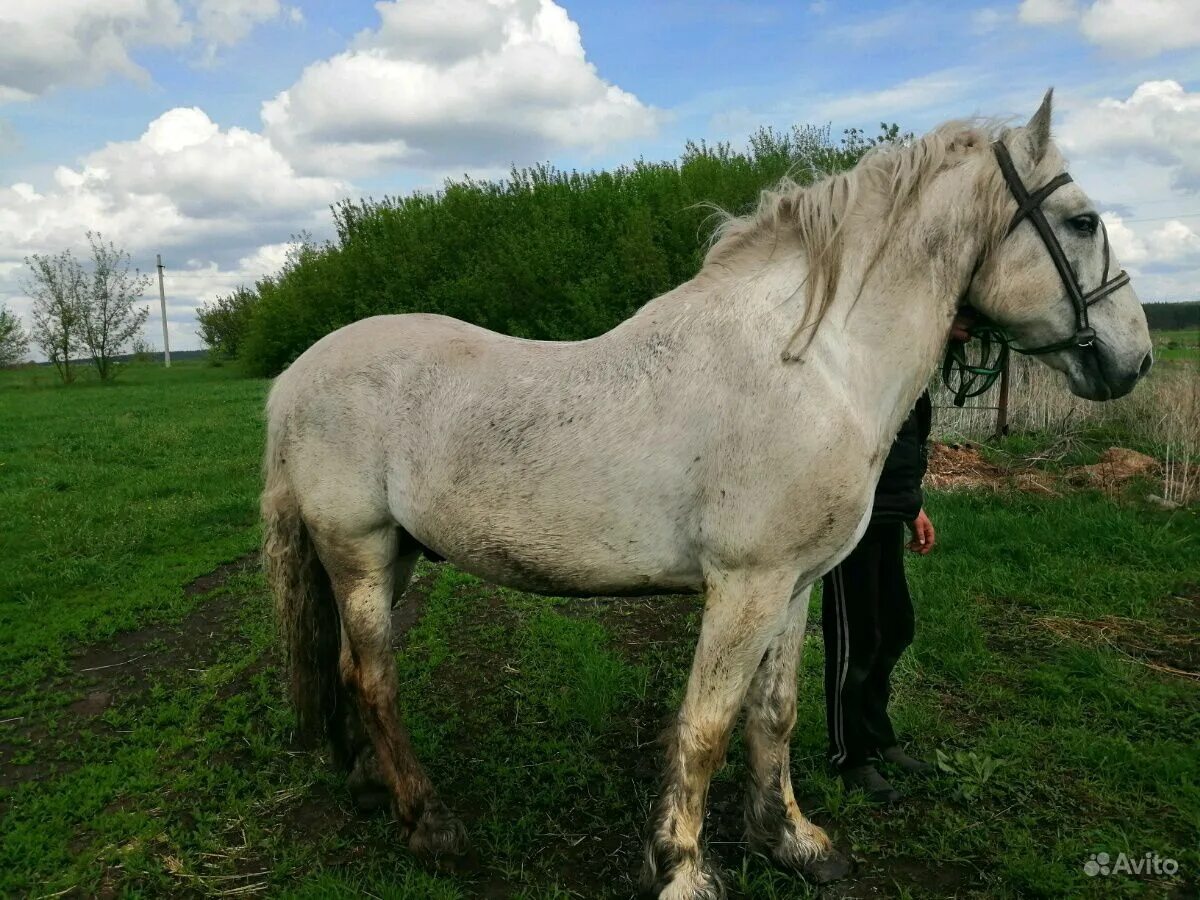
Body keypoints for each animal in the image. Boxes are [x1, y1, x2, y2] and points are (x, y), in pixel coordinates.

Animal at [262, 93, 1152, 900]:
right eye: (1081, 221)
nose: (1135, 358)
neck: (813, 364)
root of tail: (294, 378)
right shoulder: (743, 588)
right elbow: (706, 726)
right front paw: (683, 869)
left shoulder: (792, 588)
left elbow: (775, 714)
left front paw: (792, 843)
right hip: (360, 551)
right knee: (374, 676)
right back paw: (429, 822)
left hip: (394, 557)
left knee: (347, 668)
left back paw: (372, 787)